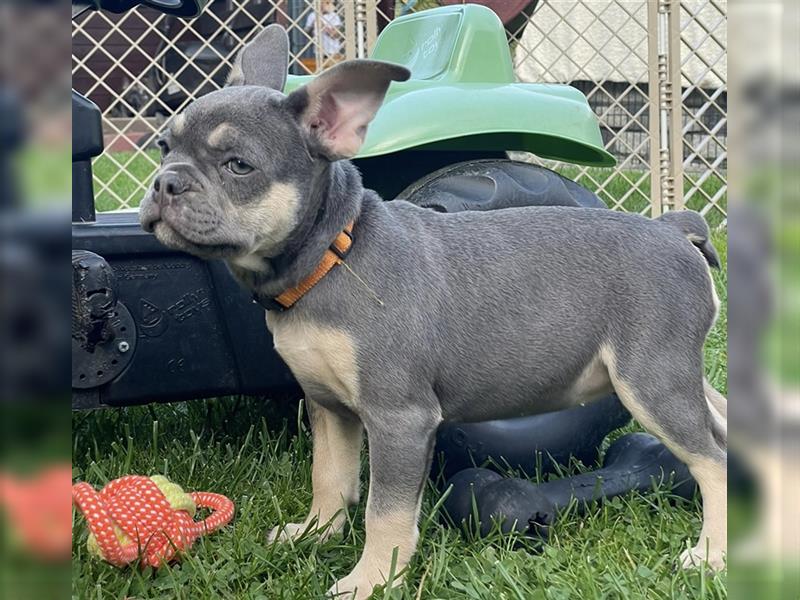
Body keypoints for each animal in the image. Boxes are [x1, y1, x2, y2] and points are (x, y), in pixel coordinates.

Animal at [141, 25, 728, 596]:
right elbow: (329, 479)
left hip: (651, 382)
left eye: (238, 166)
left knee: (713, 462)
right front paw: (314, 533)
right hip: (680, 379)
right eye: (164, 146)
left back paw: (712, 555)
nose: (164, 182)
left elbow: (385, 510)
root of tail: (674, 228)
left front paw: (372, 579)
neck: (332, 256)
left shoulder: (399, 417)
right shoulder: (328, 407)